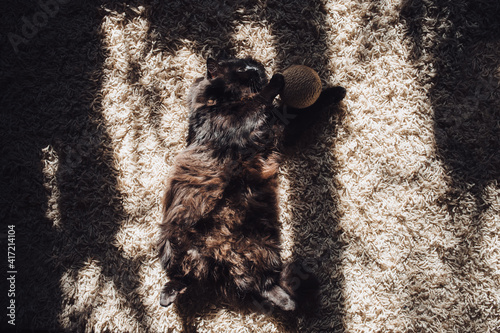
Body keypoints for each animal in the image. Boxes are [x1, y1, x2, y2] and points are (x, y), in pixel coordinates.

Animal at [158, 56, 346, 312]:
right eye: (242, 69)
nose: (259, 69)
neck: (219, 103)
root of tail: (218, 257)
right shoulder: (242, 119)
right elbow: (261, 100)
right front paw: (279, 81)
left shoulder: (279, 129)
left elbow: (304, 112)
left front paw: (335, 92)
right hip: (172, 244)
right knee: (182, 276)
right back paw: (166, 297)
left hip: (262, 247)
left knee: (265, 287)